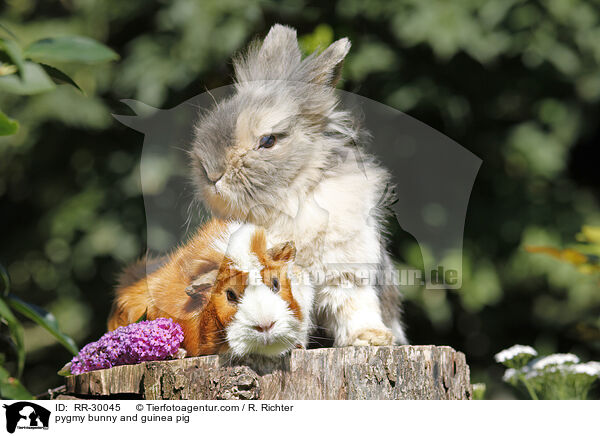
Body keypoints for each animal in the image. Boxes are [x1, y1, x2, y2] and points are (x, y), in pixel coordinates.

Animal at [192, 23, 408, 346]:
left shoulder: (346, 268)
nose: (211, 173)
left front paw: (371, 338)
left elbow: (353, 304)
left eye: (268, 140)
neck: (287, 200)